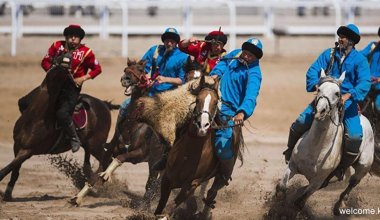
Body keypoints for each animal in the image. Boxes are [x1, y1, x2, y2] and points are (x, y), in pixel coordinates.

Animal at [0, 52, 118, 201]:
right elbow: (14, 171)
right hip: (89, 144)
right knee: (90, 160)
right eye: (56, 58)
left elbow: (7, 168)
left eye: (68, 65)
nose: (64, 61)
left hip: (96, 144)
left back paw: (94, 184)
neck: (36, 117)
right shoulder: (17, 146)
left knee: (106, 160)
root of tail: (104, 104)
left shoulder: (27, 151)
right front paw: (8, 194)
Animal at [153, 75, 245, 218]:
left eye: (215, 102)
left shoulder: (191, 185)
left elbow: (169, 208)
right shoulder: (167, 178)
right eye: (197, 100)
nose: (203, 125)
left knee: (212, 192)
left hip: (221, 176)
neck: (187, 154)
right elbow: (160, 207)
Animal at [276, 69, 374, 216]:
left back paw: (339, 206)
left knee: (351, 184)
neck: (316, 147)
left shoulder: (318, 181)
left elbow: (299, 201)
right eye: (318, 89)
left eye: (337, 93)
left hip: (363, 167)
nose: (320, 111)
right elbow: (281, 188)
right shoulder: (292, 166)